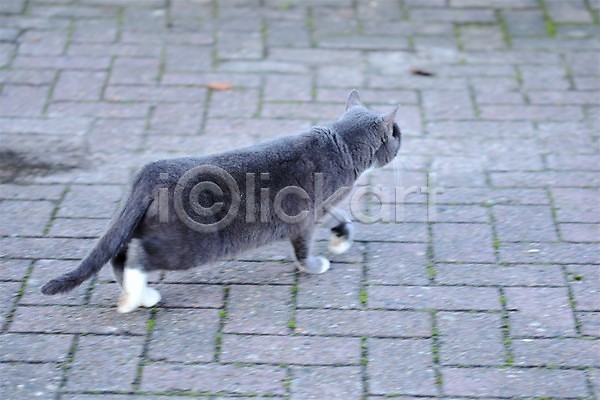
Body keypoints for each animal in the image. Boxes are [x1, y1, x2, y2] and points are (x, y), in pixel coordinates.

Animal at [42, 90, 404, 312]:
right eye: (396, 132)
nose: (402, 139)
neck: (340, 142)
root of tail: (151, 171)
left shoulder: (325, 204)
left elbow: (342, 217)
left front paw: (341, 238)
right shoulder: (304, 216)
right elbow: (304, 246)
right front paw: (314, 264)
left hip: (146, 224)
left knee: (119, 253)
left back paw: (140, 296)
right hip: (187, 242)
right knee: (136, 256)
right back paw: (135, 297)